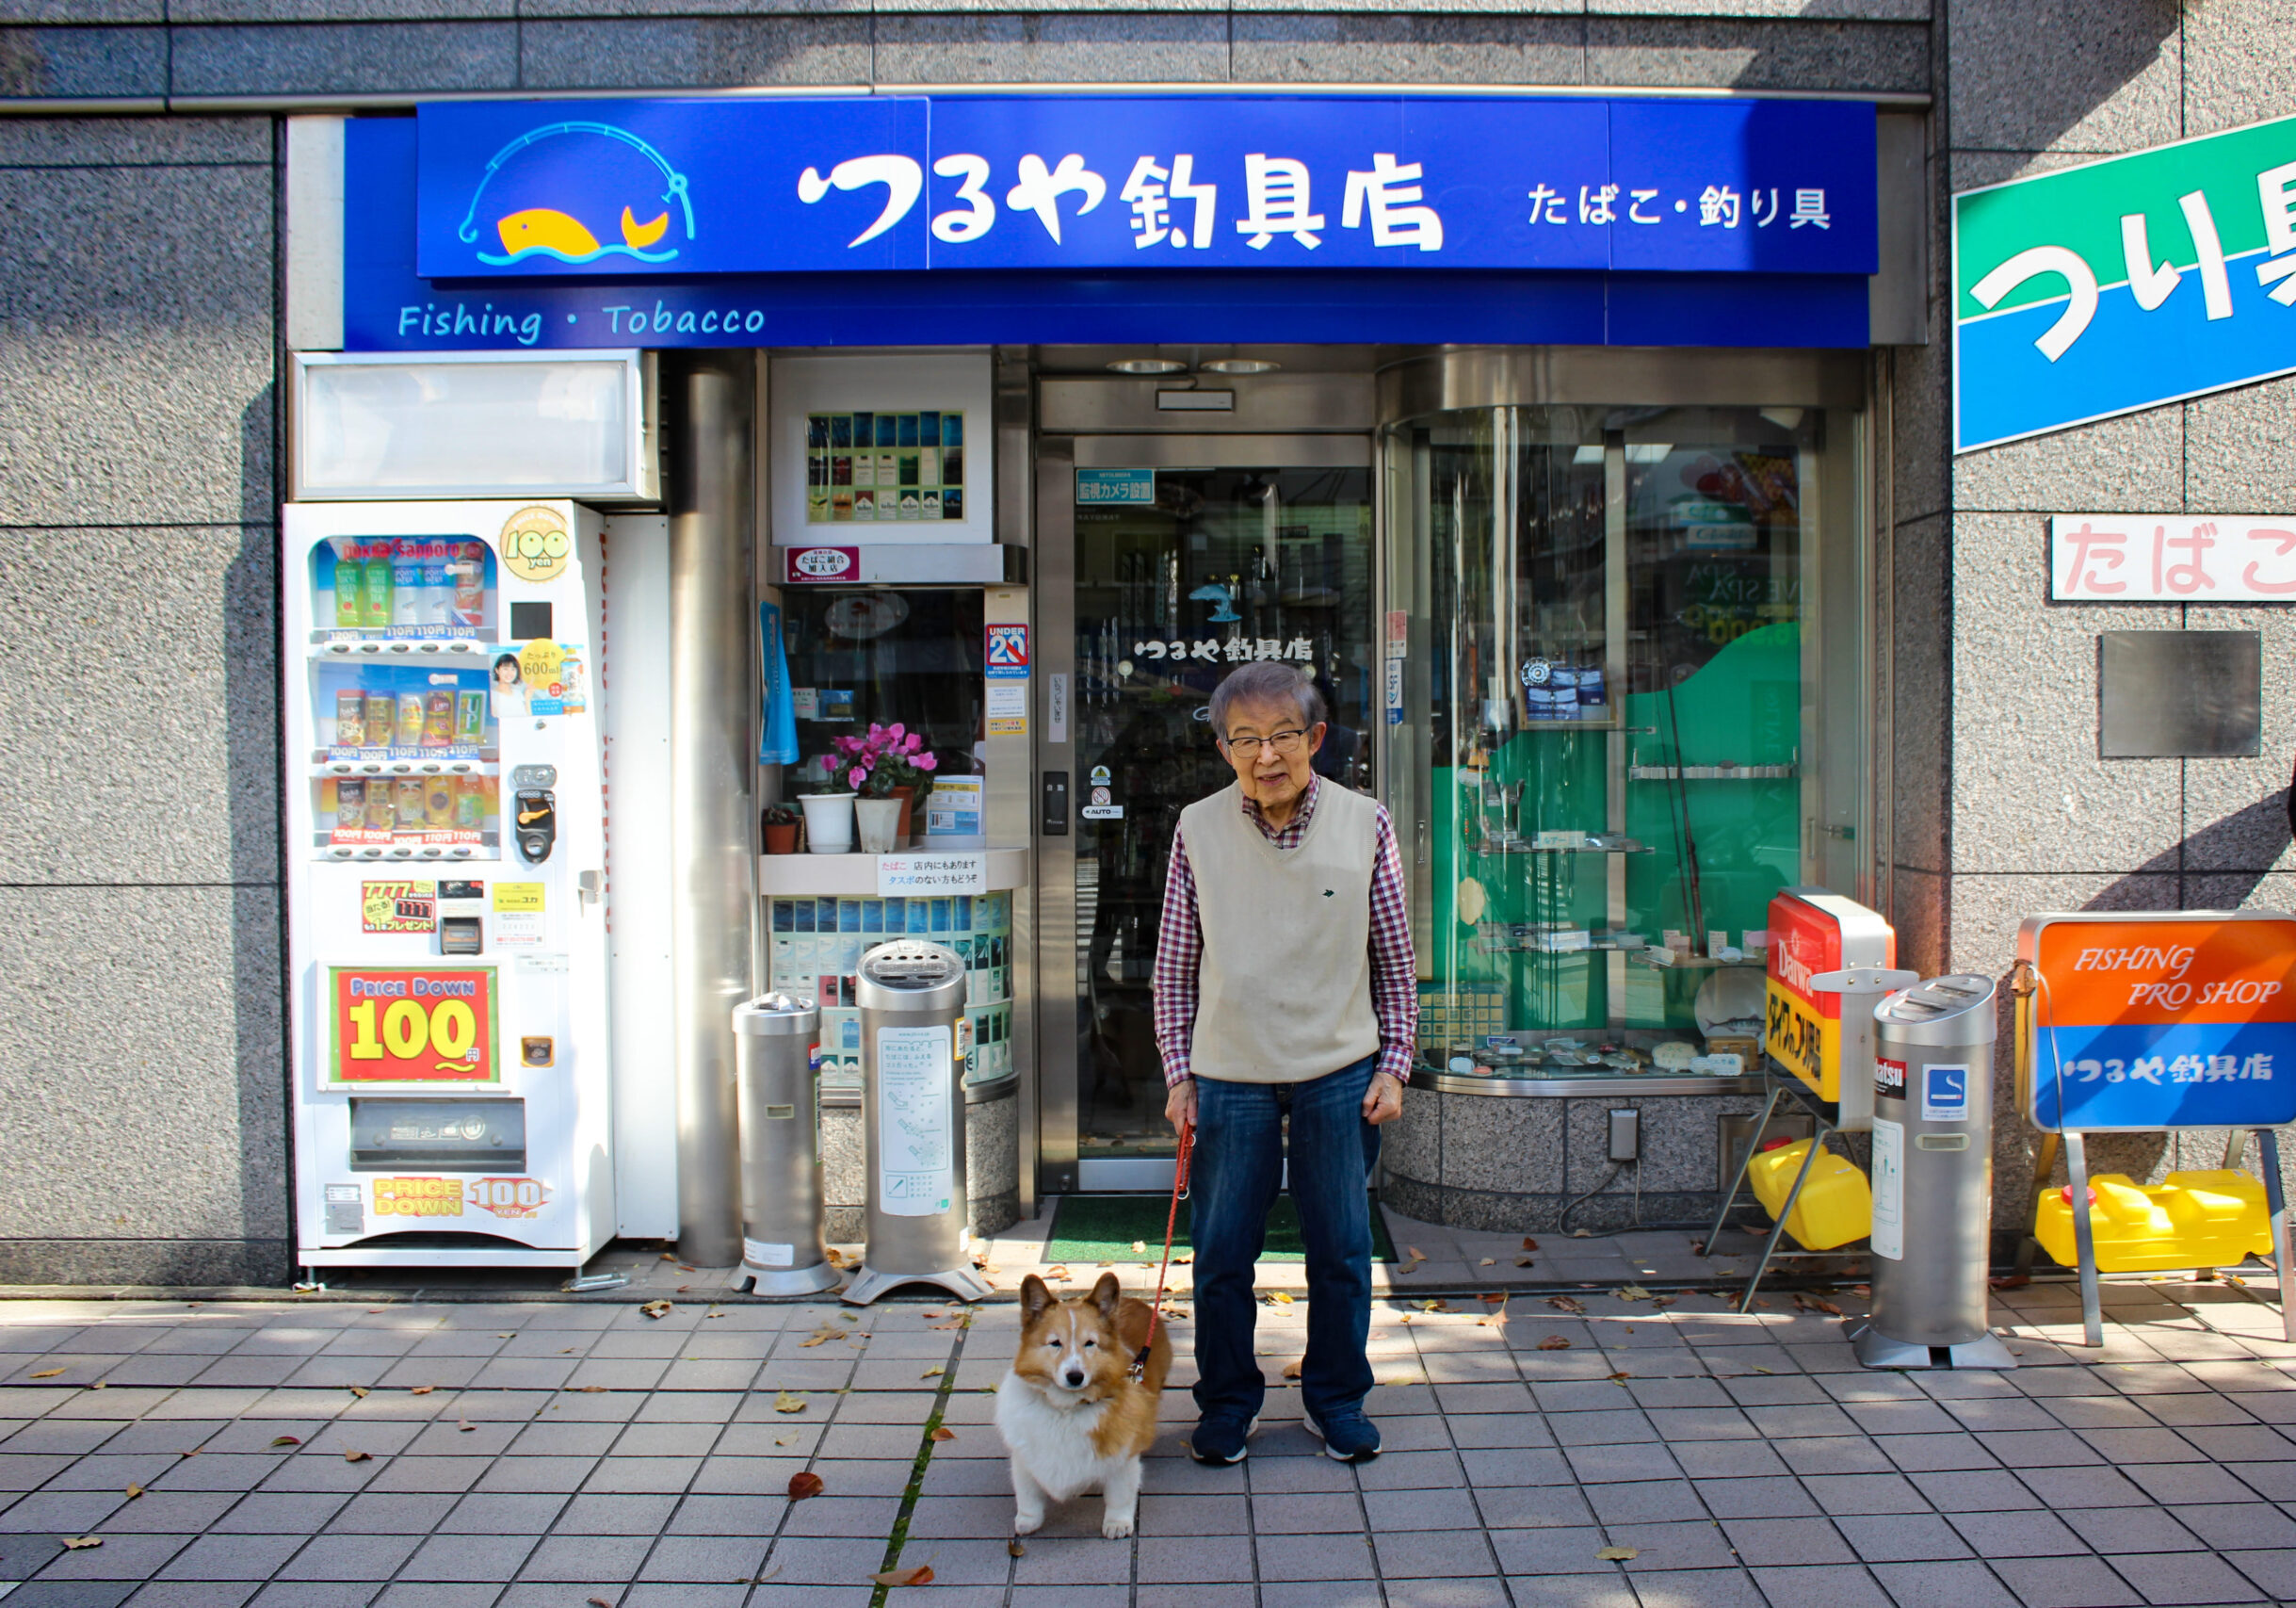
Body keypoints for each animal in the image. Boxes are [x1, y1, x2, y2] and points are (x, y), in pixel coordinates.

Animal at [996, 1268, 1175, 1543]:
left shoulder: (1123, 1457)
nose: (1075, 1377)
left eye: (1090, 1343)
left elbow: (1119, 1495)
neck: (1067, 1408)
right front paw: (1027, 1522)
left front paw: (1117, 1524)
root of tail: (1135, 1300)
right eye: (1055, 1343)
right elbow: (1028, 1495)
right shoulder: (1024, 1458)